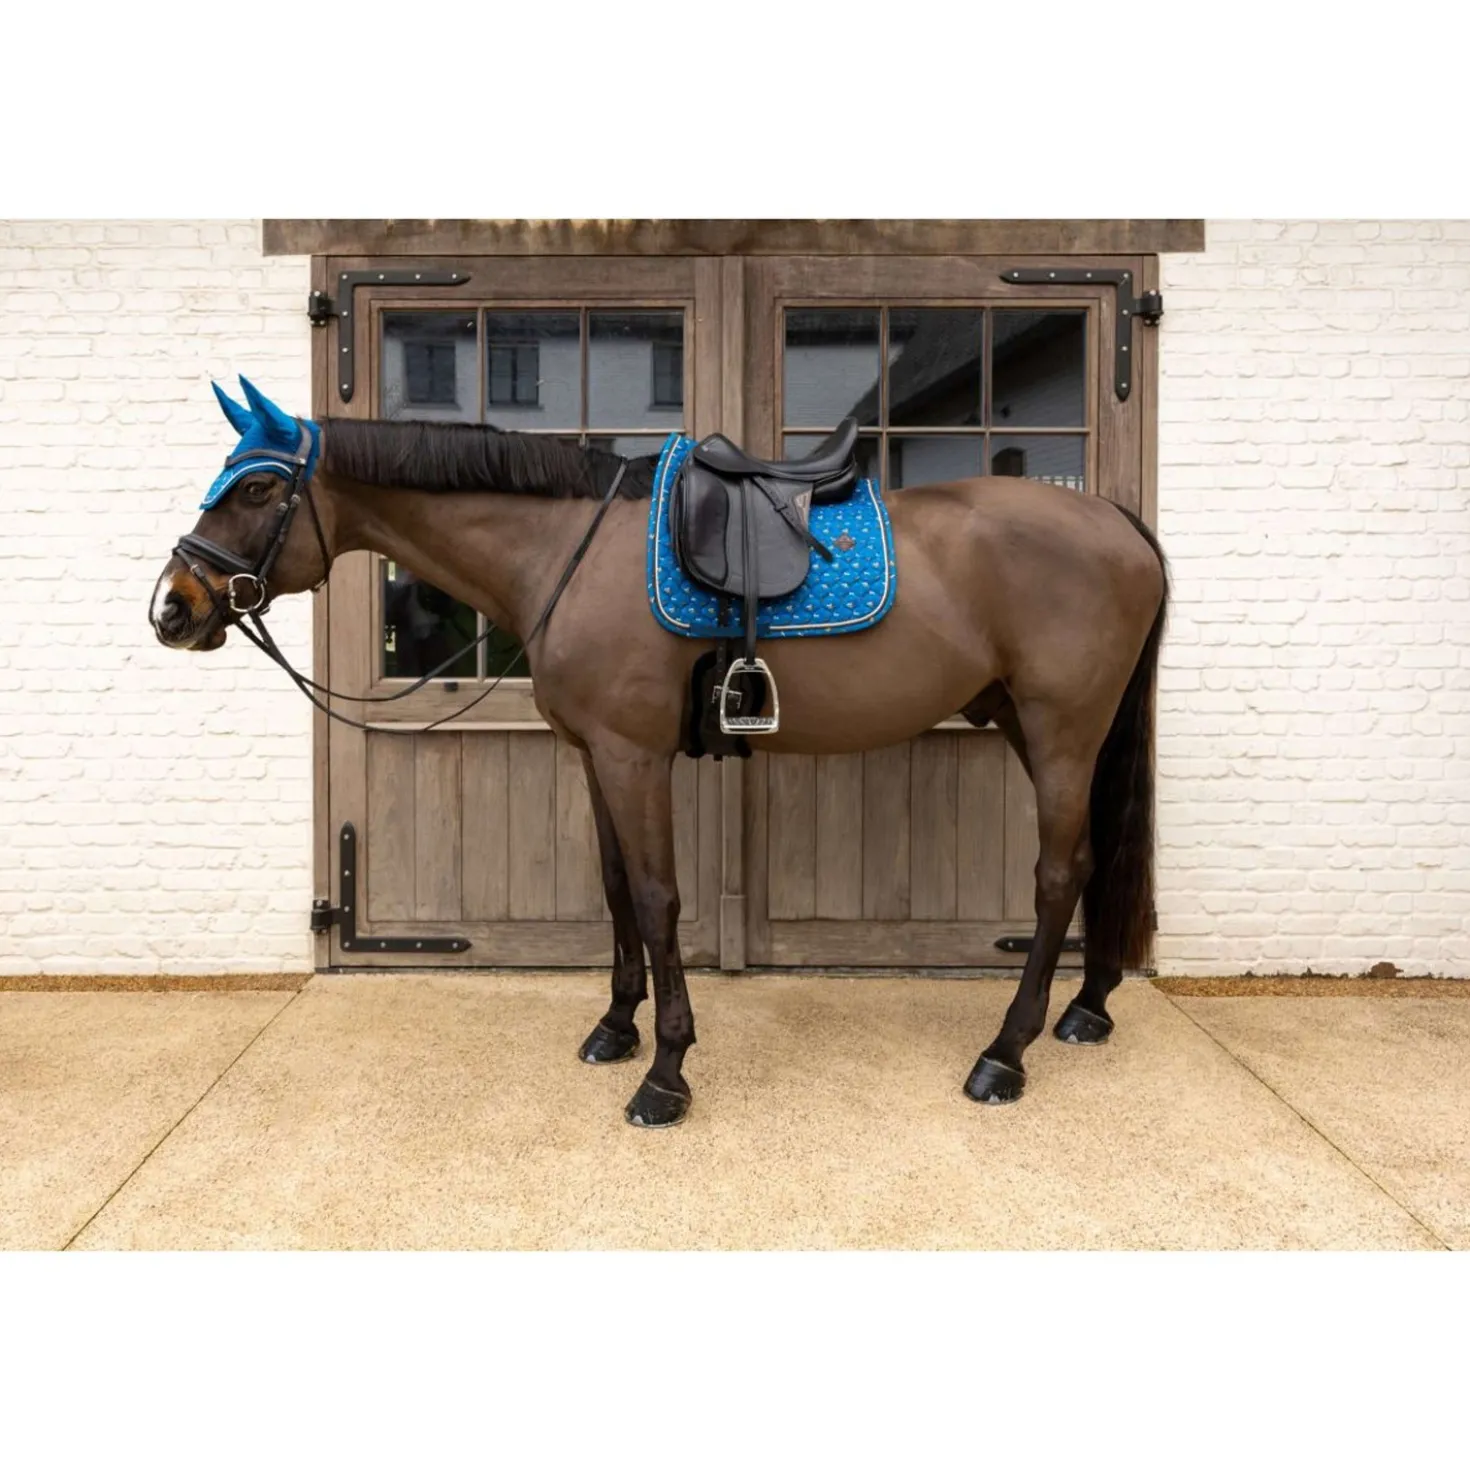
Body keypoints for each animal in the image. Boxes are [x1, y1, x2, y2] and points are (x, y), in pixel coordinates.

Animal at [150, 378, 1168, 1129]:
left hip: (1061, 730)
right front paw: (615, 1028)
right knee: (1097, 857)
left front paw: (667, 1072)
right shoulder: (594, 755)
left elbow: (656, 895)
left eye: (255, 488)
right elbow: (613, 890)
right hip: (1043, 725)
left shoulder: (634, 756)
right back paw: (1088, 1007)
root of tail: (1119, 521)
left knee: (1058, 872)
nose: (172, 607)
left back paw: (1004, 1053)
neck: (564, 548)